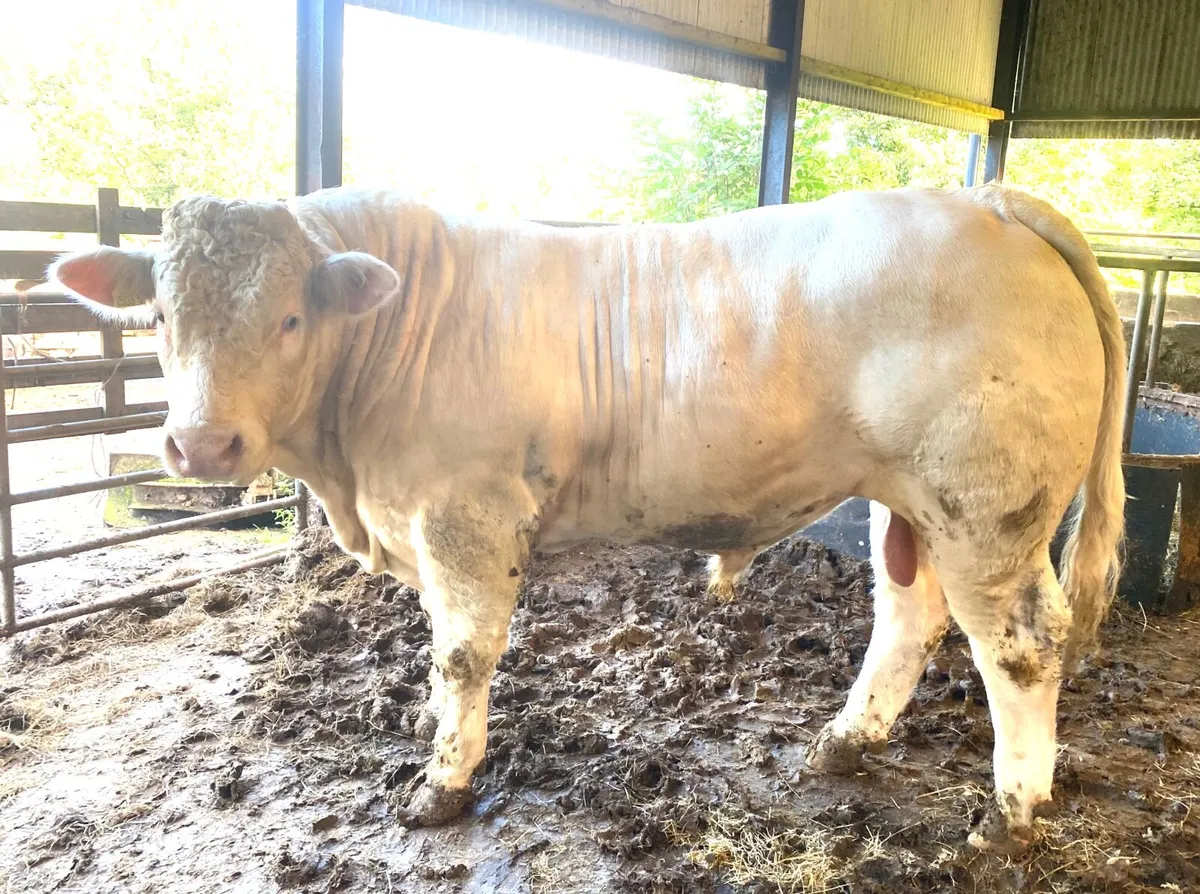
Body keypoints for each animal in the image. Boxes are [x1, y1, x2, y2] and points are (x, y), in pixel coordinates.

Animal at [50, 184, 1126, 851]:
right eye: (157, 318)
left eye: (288, 318)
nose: (201, 446)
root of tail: (984, 198)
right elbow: (434, 648)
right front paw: (425, 722)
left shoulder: (468, 515)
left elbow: (462, 654)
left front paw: (443, 780)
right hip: (909, 502)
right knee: (910, 615)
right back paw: (844, 741)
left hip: (985, 508)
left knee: (1022, 646)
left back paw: (1009, 812)